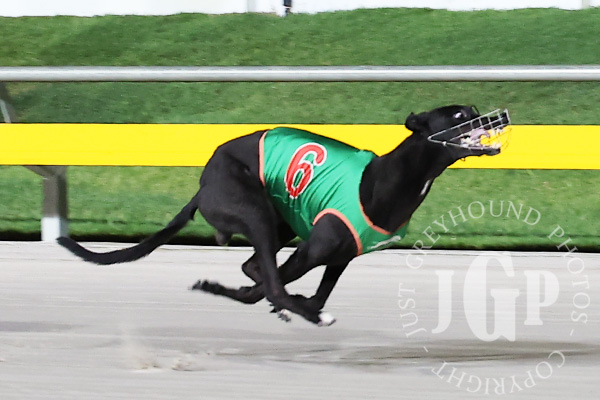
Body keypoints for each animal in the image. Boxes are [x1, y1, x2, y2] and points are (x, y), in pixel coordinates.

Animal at [58, 104, 510, 326]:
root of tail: (203, 184)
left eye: (474, 107)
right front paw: (303, 309)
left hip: (280, 221)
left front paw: (301, 304)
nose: (502, 116)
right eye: (459, 115)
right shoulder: (314, 249)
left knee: (255, 266)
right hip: (254, 210)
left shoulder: (340, 255)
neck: (387, 179)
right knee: (267, 278)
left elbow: (311, 289)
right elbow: (273, 288)